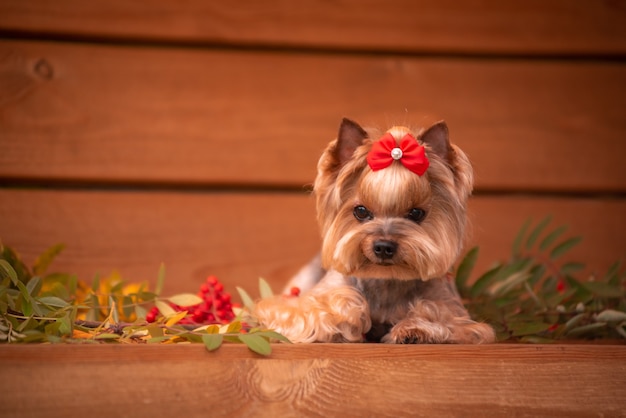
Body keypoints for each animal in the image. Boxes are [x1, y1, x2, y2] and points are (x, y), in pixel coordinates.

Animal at [254, 116, 492, 342]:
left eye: (416, 213)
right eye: (360, 211)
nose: (384, 247)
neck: (386, 279)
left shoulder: (455, 311)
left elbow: (441, 314)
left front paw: (414, 327)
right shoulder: (303, 304)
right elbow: (326, 306)